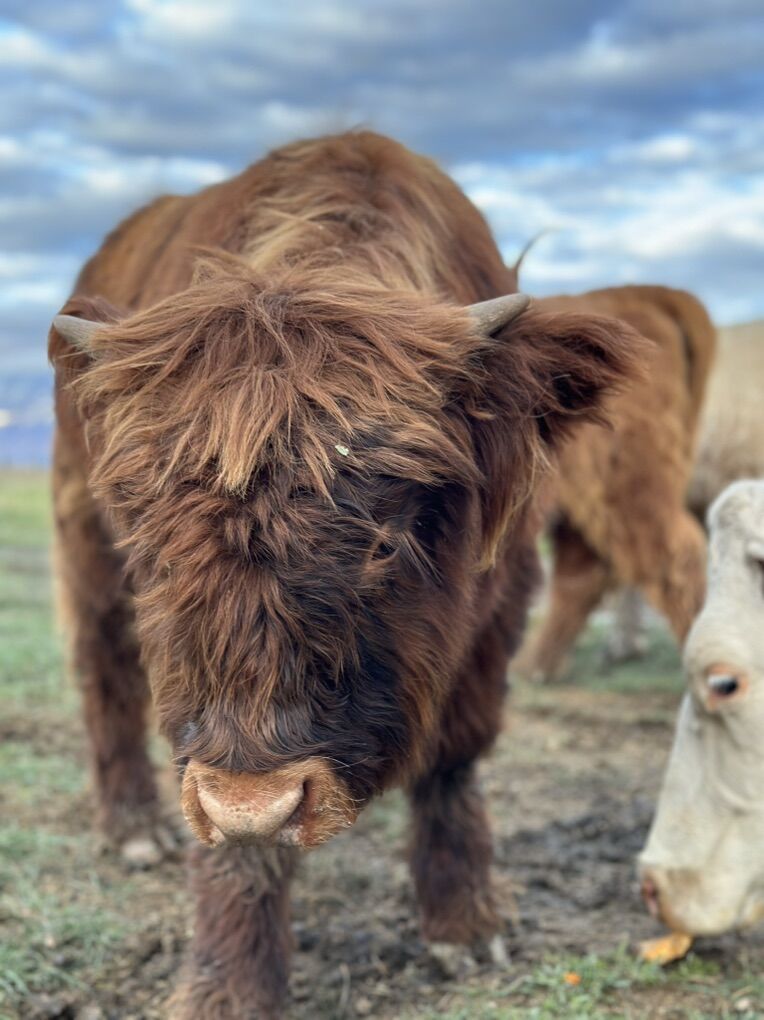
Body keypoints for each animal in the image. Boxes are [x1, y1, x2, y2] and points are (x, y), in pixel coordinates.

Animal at [48, 130, 639, 1018]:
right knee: (103, 670)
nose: (252, 800)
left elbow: (454, 762)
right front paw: (228, 987)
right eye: (150, 541)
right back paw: (134, 831)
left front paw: (466, 925)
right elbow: (236, 845)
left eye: (385, 542)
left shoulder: (498, 603)